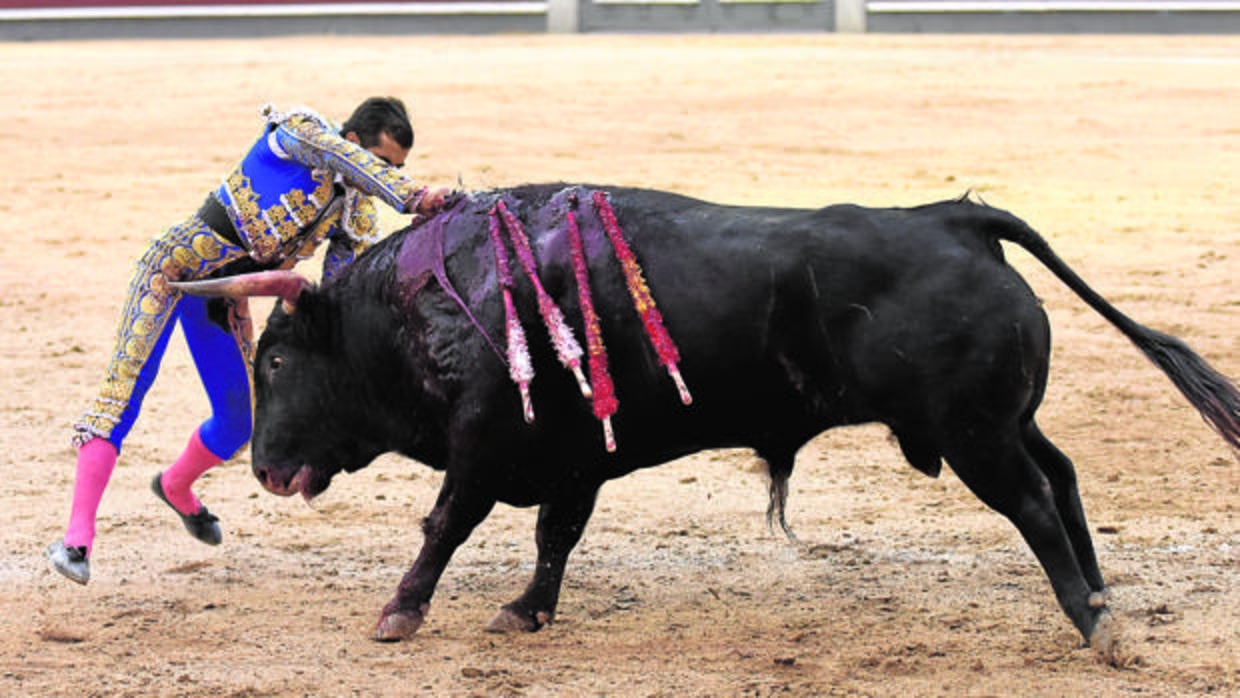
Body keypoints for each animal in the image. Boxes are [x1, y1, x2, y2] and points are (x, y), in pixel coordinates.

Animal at [174, 183, 1240, 659]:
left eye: (276, 361)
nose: (262, 469)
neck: (434, 299)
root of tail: (951, 217)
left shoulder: (485, 445)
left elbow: (446, 525)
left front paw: (399, 613)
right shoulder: (577, 460)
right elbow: (555, 536)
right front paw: (527, 610)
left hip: (975, 435)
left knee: (1032, 503)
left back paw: (1094, 625)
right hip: (1005, 420)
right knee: (1062, 477)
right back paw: (1101, 596)